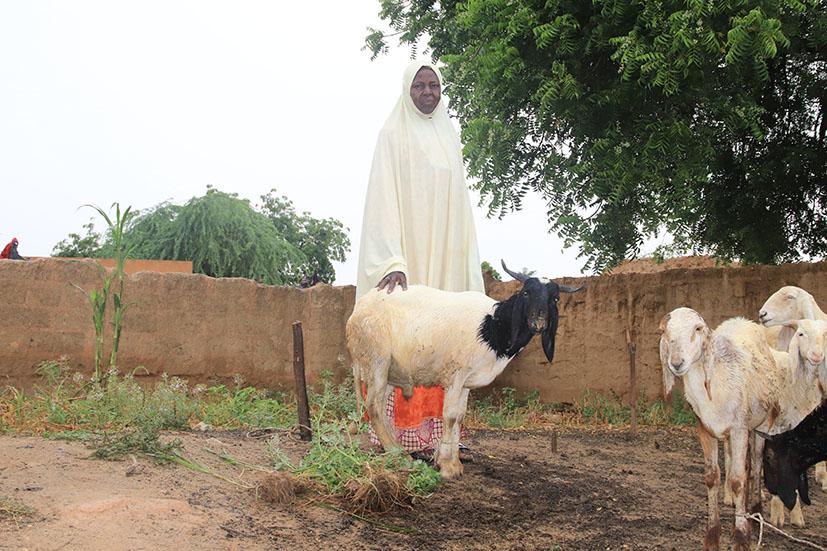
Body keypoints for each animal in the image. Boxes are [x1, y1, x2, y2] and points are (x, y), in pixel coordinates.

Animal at [346, 262, 584, 478]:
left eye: (555, 298)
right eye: (526, 293)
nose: (539, 323)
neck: (491, 327)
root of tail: (358, 309)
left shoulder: (467, 381)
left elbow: (460, 417)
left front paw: (453, 461)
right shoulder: (455, 375)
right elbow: (450, 416)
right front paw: (447, 467)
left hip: (390, 371)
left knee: (379, 406)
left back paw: (396, 448)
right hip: (377, 359)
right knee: (374, 405)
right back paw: (398, 453)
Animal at [660, 308, 784, 548]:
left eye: (698, 329)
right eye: (665, 331)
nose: (677, 363)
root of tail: (742, 321)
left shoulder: (738, 429)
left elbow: (737, 480)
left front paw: (741, 537)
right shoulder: (704, 428)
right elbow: (712, 477)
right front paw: (712, 535)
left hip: (761, 424)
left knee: (755, 465)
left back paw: (755, 513)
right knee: (745, 466)